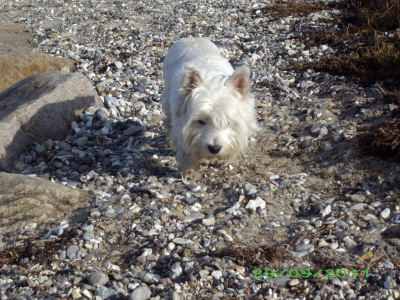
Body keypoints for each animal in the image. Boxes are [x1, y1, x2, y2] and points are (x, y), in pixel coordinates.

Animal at [162, 37, 260, 176]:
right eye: (201, 121)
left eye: (228, 122)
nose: (215, 148)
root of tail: (192, 37)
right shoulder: (181, 126)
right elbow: (185, 151)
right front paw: (187, 169)